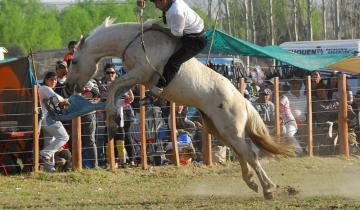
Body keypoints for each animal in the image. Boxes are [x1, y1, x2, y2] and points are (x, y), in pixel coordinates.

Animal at [65, 17, 292, 199]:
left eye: (74, 60)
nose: (68, 87)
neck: (137, 41)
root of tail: (242, 99)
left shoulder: (140, 73)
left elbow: (113, 87)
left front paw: (113, 120)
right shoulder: (135, 78)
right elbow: (116, 93)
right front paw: (114, 120)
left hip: (231, 130)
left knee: (249, 154)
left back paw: (268, 188)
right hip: (219, 129)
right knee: (239, 153)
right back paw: (252, 183)